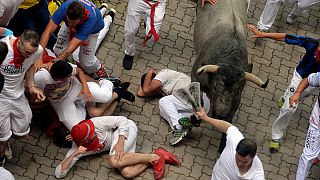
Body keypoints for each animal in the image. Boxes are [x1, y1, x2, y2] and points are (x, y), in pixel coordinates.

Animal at [191, 0, 268, 153]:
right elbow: (199, 100)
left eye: (237, 92)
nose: (221, 114)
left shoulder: (234, 104)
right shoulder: (195, 77)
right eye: (215, 88)